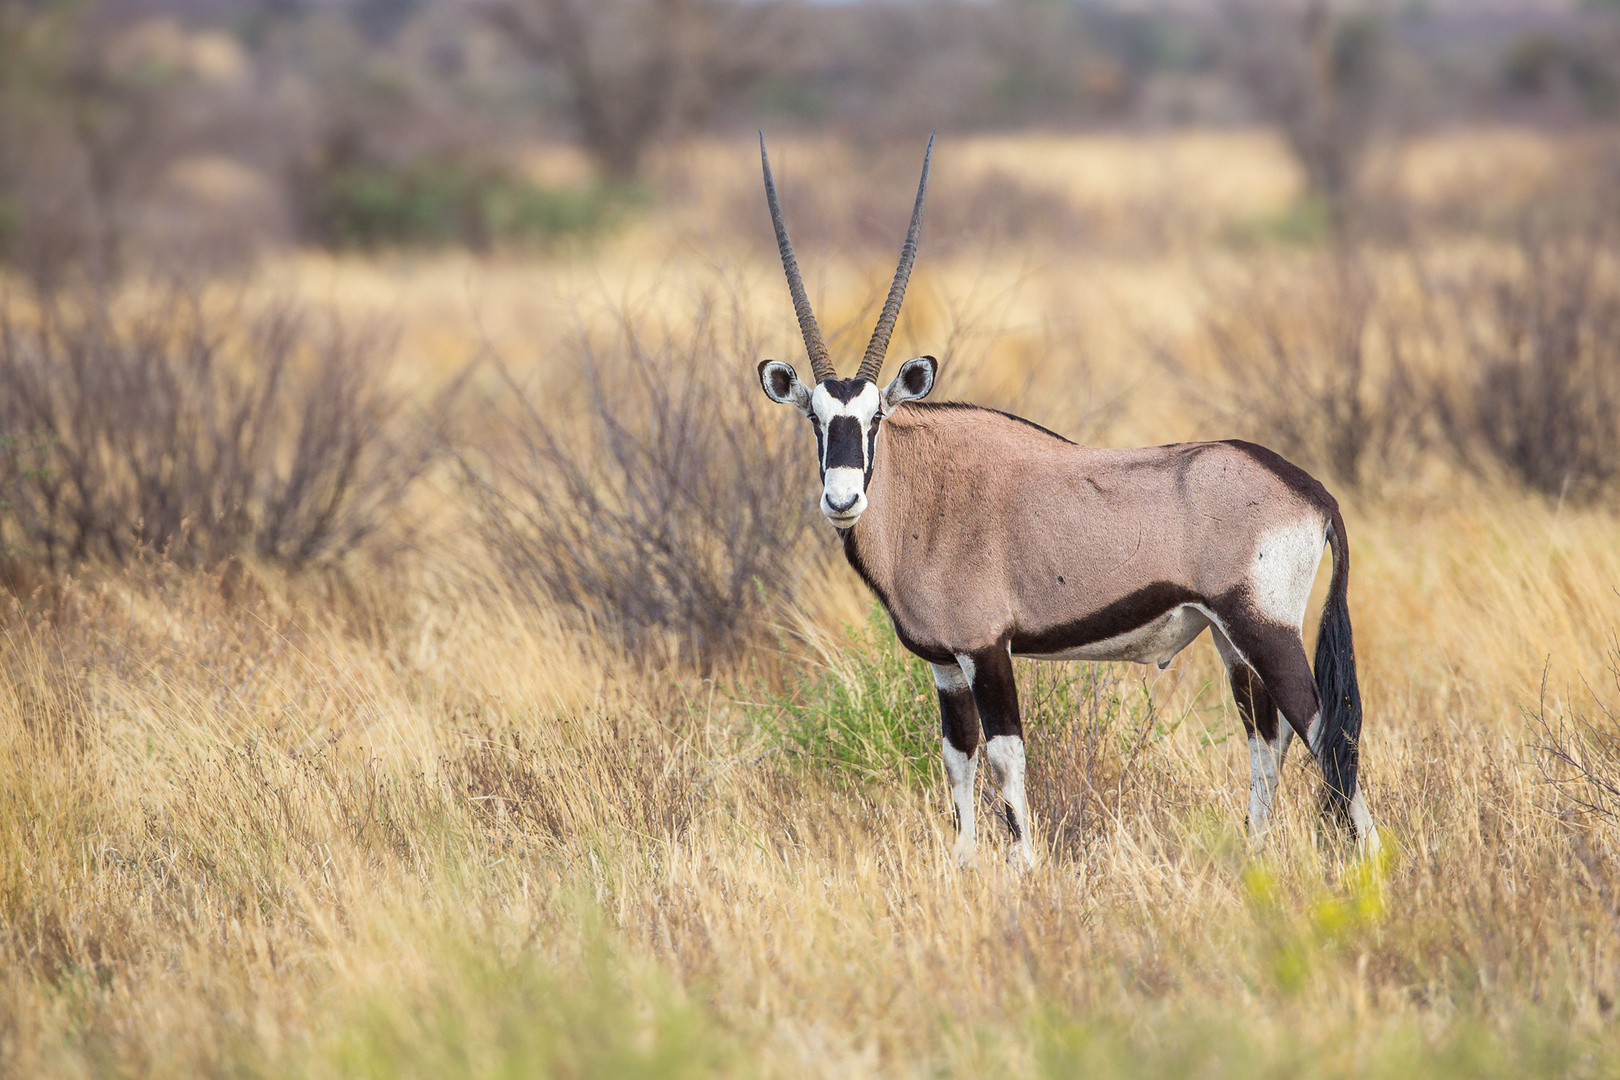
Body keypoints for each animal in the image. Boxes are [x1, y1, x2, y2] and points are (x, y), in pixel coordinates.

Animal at [751, 135, 1373, 867]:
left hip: (1266, 629)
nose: (843, 497)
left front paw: (1024, 865)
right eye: (815, 420)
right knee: (1266, 739)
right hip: (1230, 637)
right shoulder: (946, 666)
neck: (928, 493)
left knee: (1326, 732)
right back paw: (1251, 855)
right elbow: (957, 760)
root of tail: (1313, 492)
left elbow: (1005, 758)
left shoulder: (987, 650)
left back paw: (1371, 859)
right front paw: (963, 865)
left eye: (876, 418)